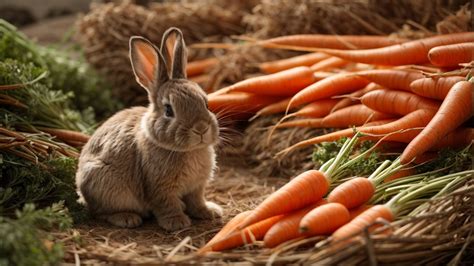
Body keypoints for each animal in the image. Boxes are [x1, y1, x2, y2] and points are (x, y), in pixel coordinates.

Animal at [75, 27, 223, 231]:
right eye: (168, 110)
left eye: (206, 103)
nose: (200, 128)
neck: (187, 150)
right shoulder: (160, 187)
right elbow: (167, 204)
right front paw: (177, 222)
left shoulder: (196, 187)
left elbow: (197, 201)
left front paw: (210, 211)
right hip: (103, 183)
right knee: (100, 212)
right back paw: (127, 218)